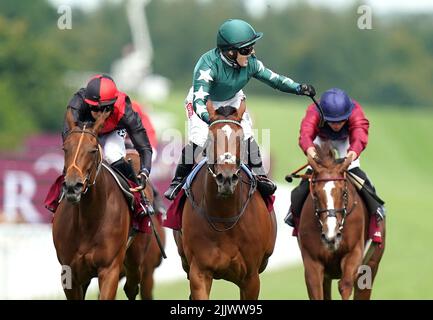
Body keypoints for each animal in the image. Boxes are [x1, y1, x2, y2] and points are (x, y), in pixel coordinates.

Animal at [173, 100, 276, 300]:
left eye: (241, 139)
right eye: (211, 139)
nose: (226, 178)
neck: (224, 217)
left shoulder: (251, 278)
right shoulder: (199, 271)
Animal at [296, 142, 384, 300]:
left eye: (344, 193)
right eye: (316, 194)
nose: (331, 235)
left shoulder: (354, 252)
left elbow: (345, 285)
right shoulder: (312, 261)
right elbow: (316, 290)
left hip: (371, 265)